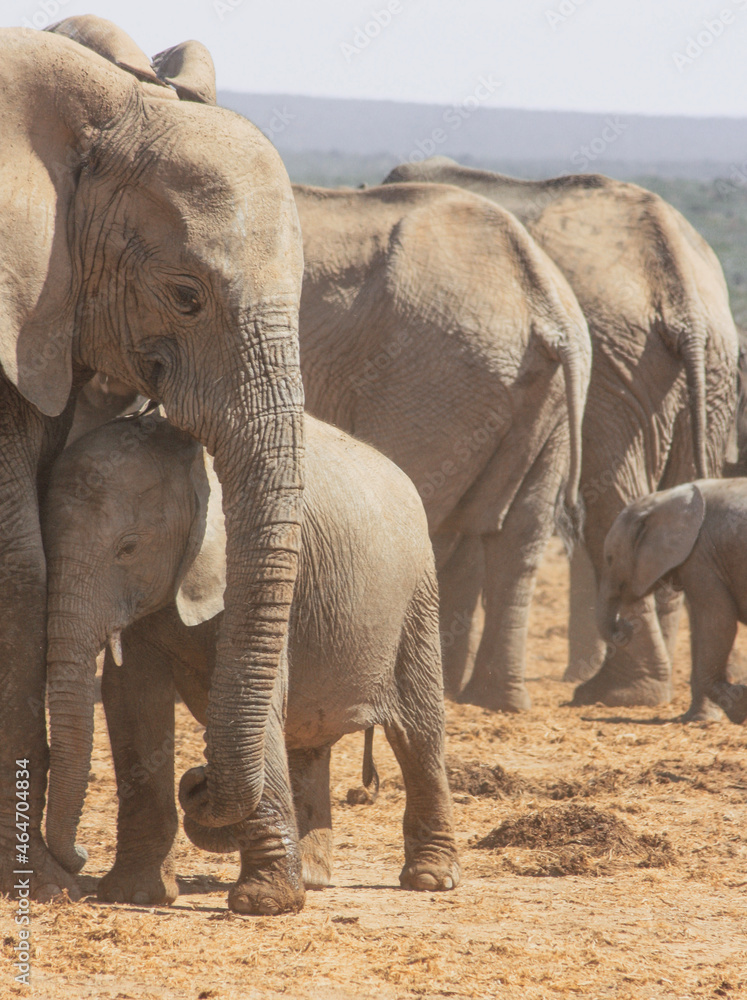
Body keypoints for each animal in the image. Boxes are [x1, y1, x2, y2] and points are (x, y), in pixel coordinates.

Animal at [41, 410, 461, 913]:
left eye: (128, 548)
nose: (81, 854)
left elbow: (254, 696)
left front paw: (262, 904)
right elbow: (132, 700)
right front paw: (133, 894)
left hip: (417, 595)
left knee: (418, 731)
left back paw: (432, 879)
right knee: (307, 737)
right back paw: (312, 876)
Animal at [384, 156, 739, 708]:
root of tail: (683, 293)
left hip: (617, 370)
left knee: (609, 502)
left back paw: (615, 692)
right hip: (696, 367)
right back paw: (639, 689)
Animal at [598, 479, 747, 725]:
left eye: (609, 559)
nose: (625, 627)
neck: (662, 499)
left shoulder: (701, 554)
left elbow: (718, 623)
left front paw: (737, 707)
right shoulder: (699, 556)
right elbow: (700, 628)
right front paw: (699, 719)